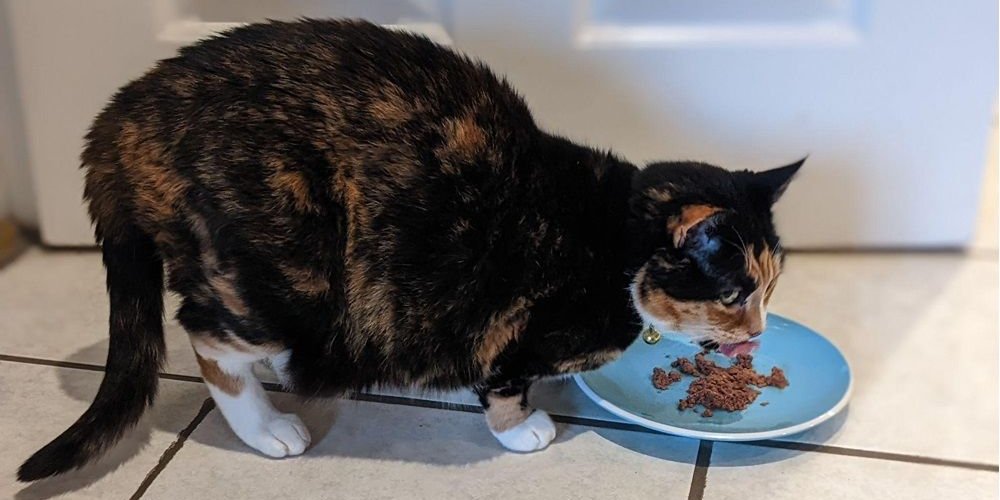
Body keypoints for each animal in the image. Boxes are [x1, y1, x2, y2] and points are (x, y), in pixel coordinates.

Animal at [15, 19, 800, 480]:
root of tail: (121, 119)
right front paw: (523, 428)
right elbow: (504, 381)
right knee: (206, 338)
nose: (760, 330)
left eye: (768, 288)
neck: (612, 242)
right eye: (735, 294)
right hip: (286, 270)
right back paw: (269, 427)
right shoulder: (512, 323)